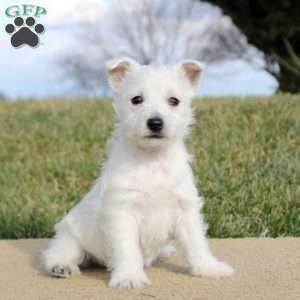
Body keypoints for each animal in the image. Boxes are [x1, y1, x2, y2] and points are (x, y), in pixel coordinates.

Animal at [41, 58, 234, 288]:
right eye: (136, 99)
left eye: (174, 100)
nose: (155, 123)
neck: (152, 160)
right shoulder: (122, 212)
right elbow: (128, 249)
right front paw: (129, 277)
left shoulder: (186, 208)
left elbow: (196, 242)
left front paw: (209, 268)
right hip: (70, 235)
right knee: (59, 252)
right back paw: (61, 267)